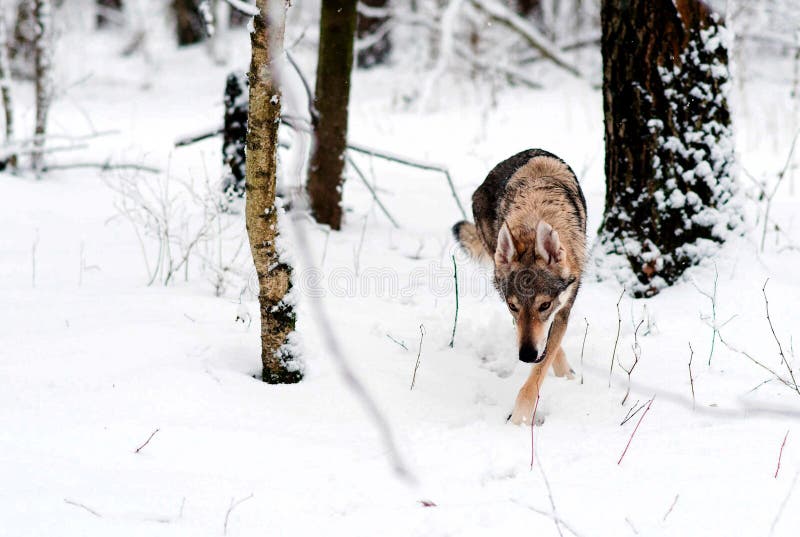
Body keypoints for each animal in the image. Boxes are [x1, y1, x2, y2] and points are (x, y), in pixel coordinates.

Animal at [450, 149, 588, 426]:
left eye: (544, 305)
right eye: (513, 306)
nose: (525, 356)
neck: (535, 217)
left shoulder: (564, 309)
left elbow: (537, 374)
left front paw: (520, 420)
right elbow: (543, 356)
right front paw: (520, 422)